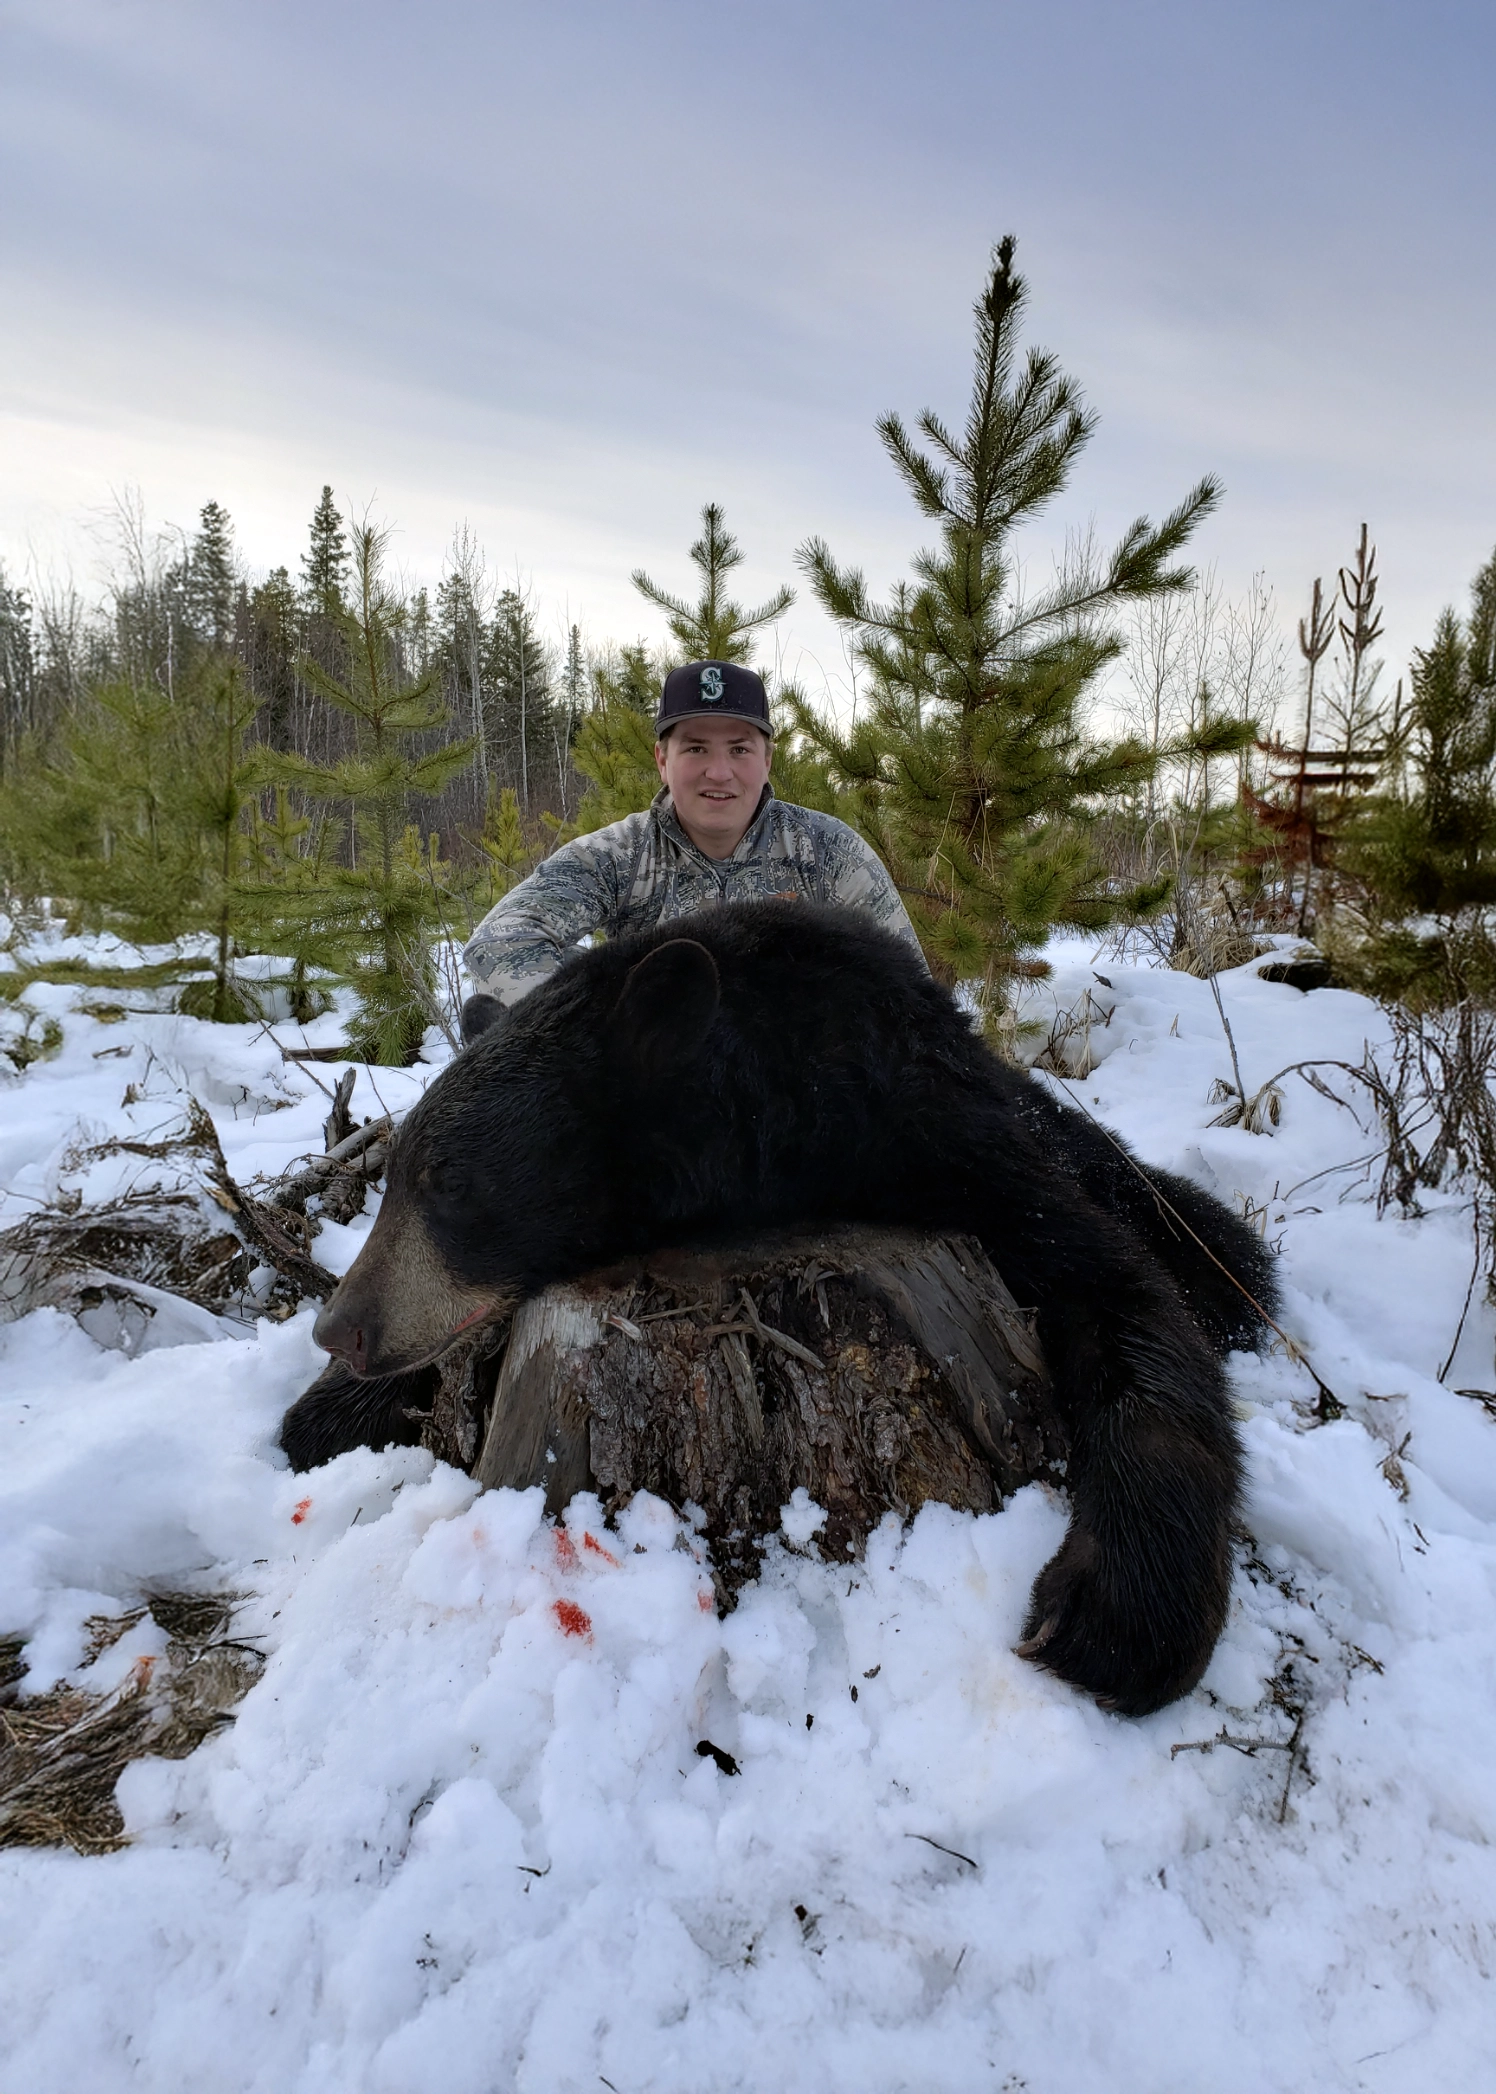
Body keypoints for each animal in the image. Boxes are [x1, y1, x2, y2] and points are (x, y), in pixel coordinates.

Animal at [286, 901, 1277, 1715]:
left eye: (448, 1182)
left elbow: (1125, 1299)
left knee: (1184, 1223)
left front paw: (1117, 1613)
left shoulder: (954, 1139)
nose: (339, 1327)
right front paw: (327, 1411)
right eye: (395, 1174)